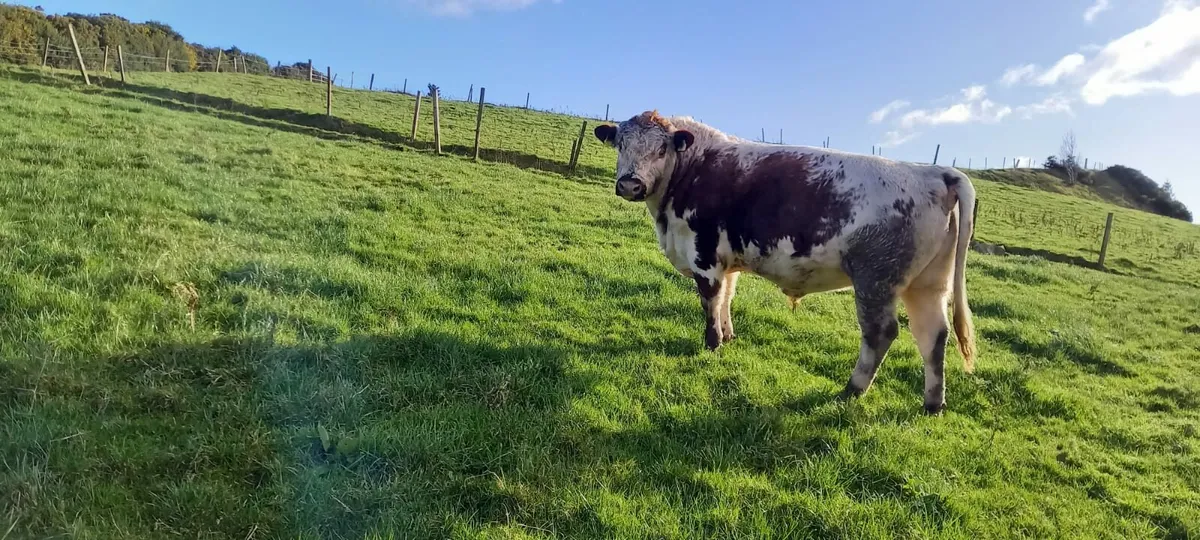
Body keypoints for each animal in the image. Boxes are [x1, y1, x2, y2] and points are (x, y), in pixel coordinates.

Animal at [594, 111, 977, 414]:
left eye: (661, 149)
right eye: (621, 146)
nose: (630, 184)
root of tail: (934, 173)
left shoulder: (704, 255)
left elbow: (711, 301)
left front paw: (712, 344)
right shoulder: (726, 259)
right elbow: (727, 298)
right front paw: (728, 337)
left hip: (876, 280)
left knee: (881, 333)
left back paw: (852, 389)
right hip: (927, 283)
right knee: (933, 336)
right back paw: (933, 404)